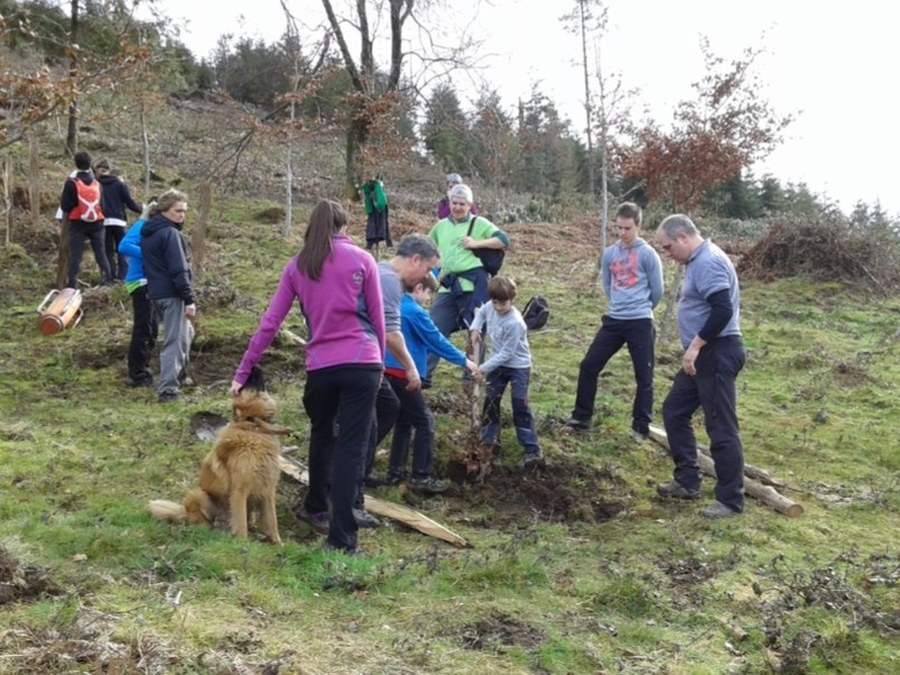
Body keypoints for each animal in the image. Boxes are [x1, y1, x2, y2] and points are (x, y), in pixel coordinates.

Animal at [149, 370, 284, 544]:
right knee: (202, 521)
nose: (253, 368)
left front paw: (278, 544)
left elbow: (272, 521)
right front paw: (243, 545)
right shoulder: (239, 490)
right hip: (198, 494)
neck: (252, 429)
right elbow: (241, 524)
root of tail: (184, 512)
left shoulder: (268, 490)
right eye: (243, 386)